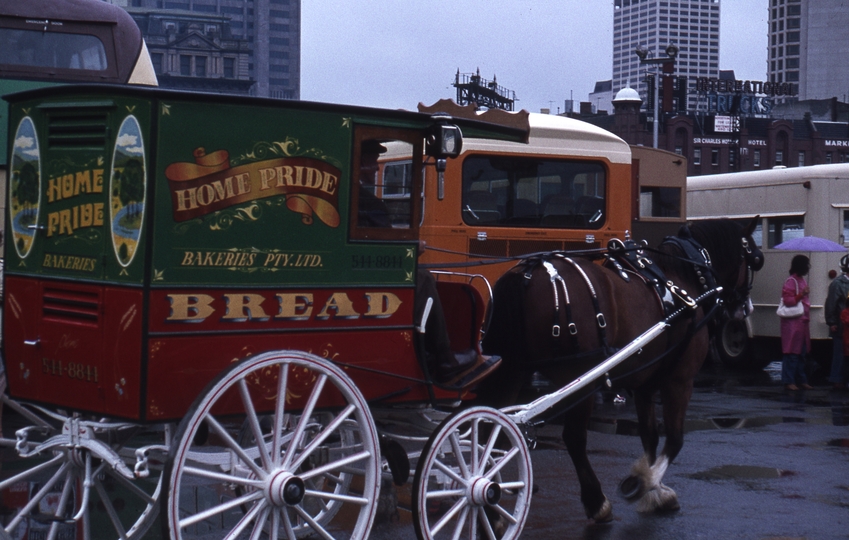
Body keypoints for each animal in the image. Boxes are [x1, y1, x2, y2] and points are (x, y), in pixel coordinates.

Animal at [476, 219, 760, 524]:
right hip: (580, 379)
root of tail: (526, 275)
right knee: (573, 438)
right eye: (755, 259)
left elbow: (650, 436)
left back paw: (489, 506)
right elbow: (674, 439)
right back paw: (595, 502)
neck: (682, 282)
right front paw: (643, 483)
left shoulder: (646, 384)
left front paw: (655, 490)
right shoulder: (679, 380)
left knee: (487, 430)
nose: (745, 308)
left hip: (512, 369)